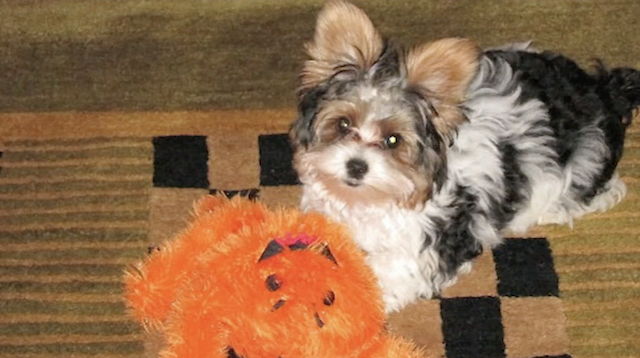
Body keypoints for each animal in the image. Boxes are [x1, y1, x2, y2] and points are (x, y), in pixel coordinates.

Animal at [292, 0, 640, 312]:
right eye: (343, 124)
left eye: (393, 140)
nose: (356, 166)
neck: (370, 201)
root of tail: (603, 90)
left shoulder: (428, 244)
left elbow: (384, 272)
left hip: (584, 160)